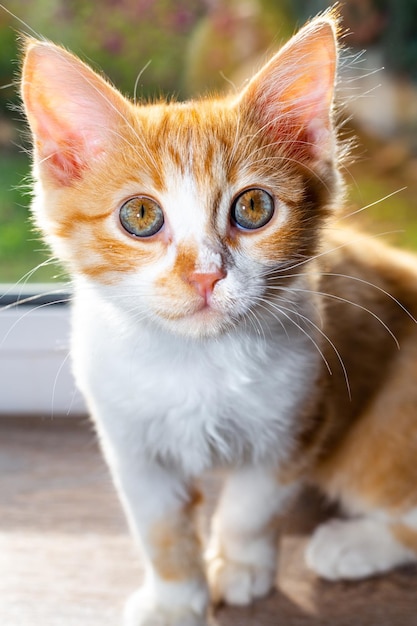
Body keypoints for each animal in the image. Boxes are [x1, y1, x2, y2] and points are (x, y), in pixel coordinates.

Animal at [20, 9, 417, 624]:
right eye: (140, 215)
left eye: (253, 207)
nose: (205, 275)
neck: (196, 361)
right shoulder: (129, 440)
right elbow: (159, 527)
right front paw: (175, 598)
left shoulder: (296, 420)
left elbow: (251, 507)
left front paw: (240, 567)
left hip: (382, 429)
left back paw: (351, 543)